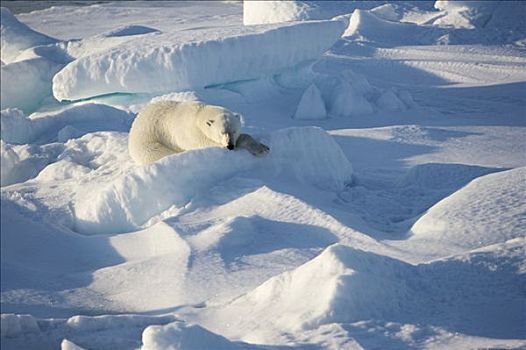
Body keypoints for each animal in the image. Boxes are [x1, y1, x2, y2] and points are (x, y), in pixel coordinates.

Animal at [129, 100, 270, 163]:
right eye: (222, 132)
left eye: (234, 131)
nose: (230, 146)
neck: (198, 115)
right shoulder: (192, 135)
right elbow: (209, 143)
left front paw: (263, 148)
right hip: (147, 142)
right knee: (159, 152)